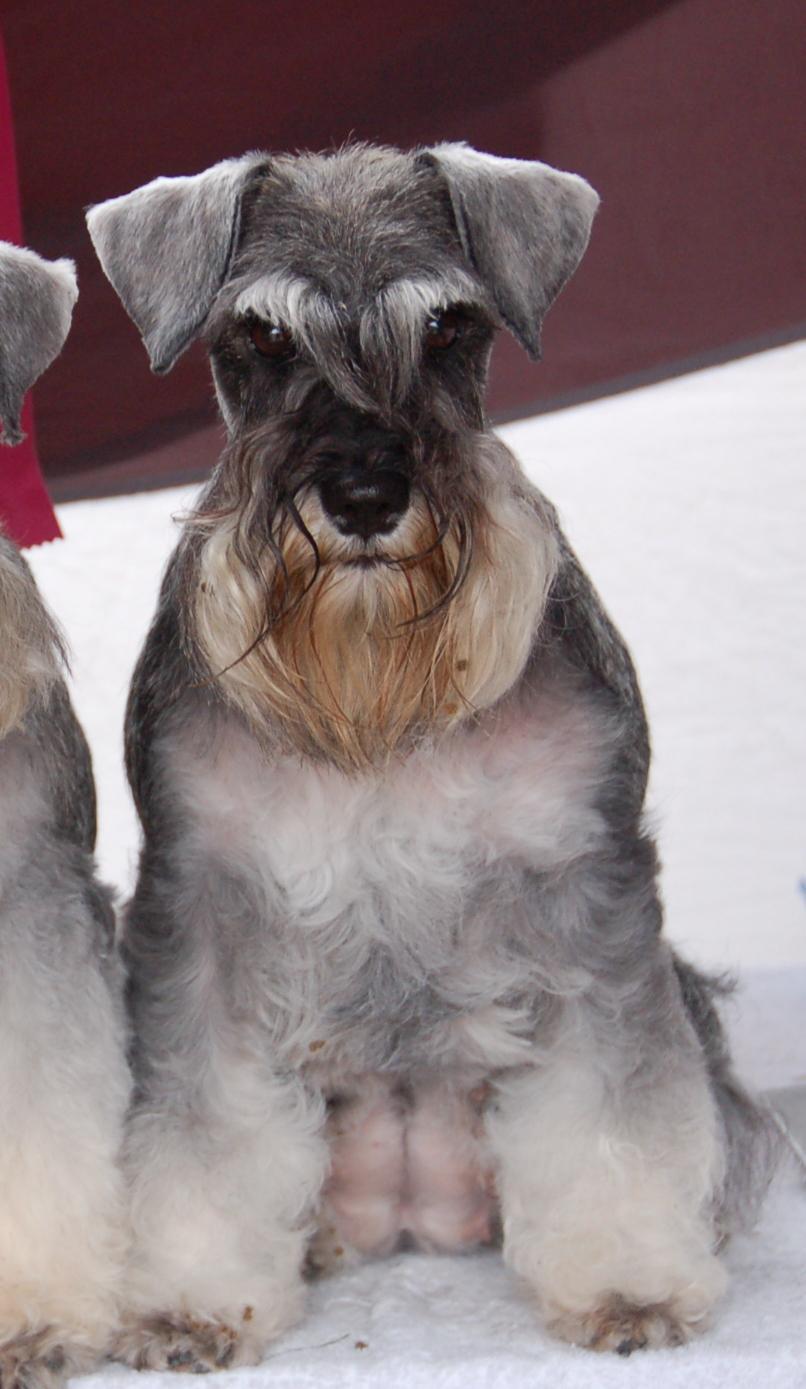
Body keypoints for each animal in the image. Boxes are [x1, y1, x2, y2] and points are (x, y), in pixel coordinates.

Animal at [87, 142, 774, 1366]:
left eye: (453, 325)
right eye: (261, 335)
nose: (365, 493)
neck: (380, 706)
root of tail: (411, 1211)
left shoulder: (587, 893)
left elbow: (613, 1105)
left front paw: (629, 1283)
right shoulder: (200, 910)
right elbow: (203, 1127)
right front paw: (187, 1299)